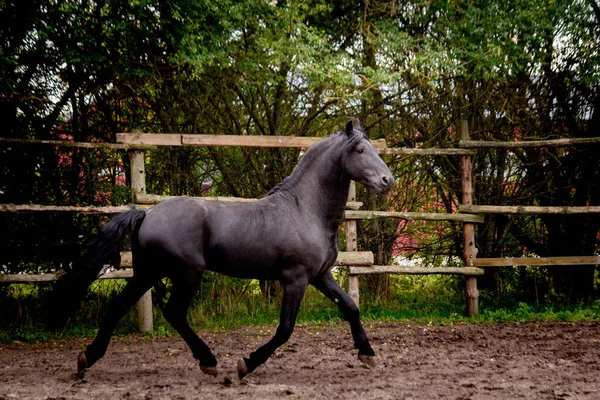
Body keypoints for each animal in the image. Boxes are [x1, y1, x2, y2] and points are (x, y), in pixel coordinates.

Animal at [51, 120, 396, 380]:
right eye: (360, 150)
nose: (387, 180)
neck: (305, 209)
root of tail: (145, 214)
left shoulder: (321, 276)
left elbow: (350, 308)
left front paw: (367, 354)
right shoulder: (295, 279)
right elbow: (285, 329)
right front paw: (246, 364)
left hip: (148, 272)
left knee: (118, 306)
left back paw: (87, 359)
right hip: (186, 273)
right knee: (173, 313)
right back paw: (208, 361)